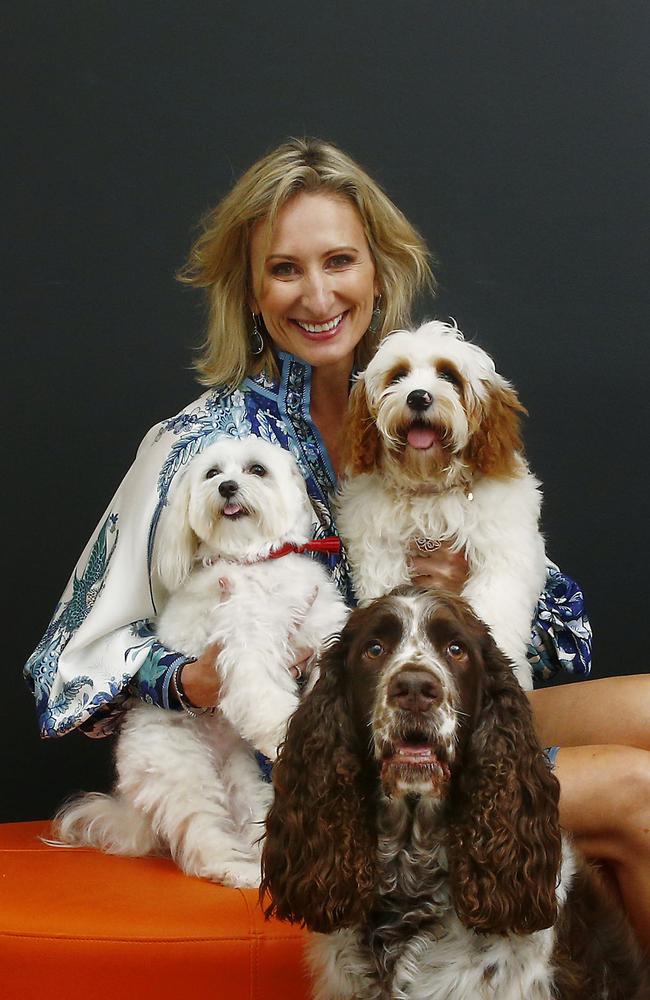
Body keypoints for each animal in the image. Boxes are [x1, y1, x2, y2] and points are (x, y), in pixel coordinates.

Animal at [55, 436, 346, 884]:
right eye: (212, 473)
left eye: (257, 470)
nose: (227, 487)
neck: (257, 559)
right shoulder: (245, 640)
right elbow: (265, 696)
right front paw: (284, 733)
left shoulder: (321, 625)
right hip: (184, 773)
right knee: (202, 839)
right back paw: (238, 870)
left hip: (241, 779)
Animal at [336, 320, 544, 688]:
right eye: (398, 376)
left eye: (448, 375)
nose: (418, 396)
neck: (430, 489)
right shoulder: (381, 554)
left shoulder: (503, 556)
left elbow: (496, 611)